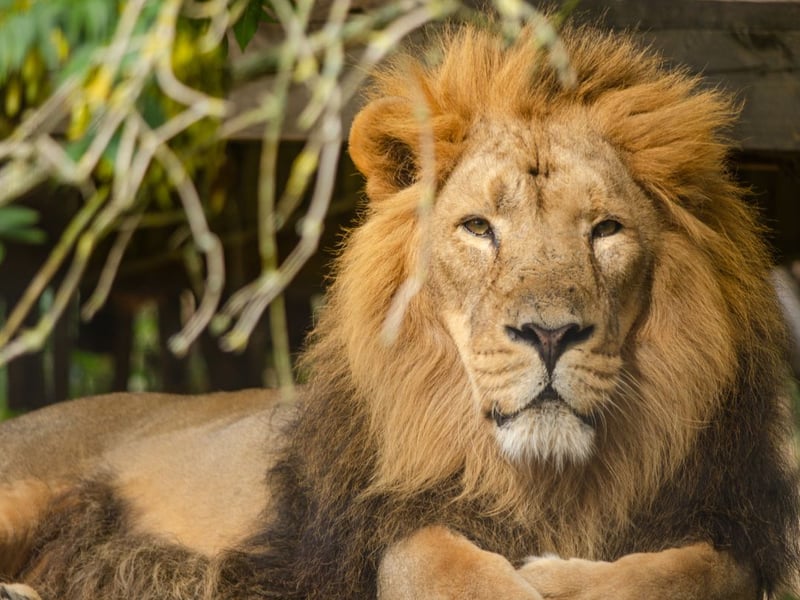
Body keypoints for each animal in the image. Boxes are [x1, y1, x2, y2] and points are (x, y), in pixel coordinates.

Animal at [0, 21, 798, 600]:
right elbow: (435, 560)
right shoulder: (366, 534)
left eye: (605, 229)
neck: (545, 483)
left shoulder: (726, 518)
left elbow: (693, 570)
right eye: (478, 227)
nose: (549, 334)